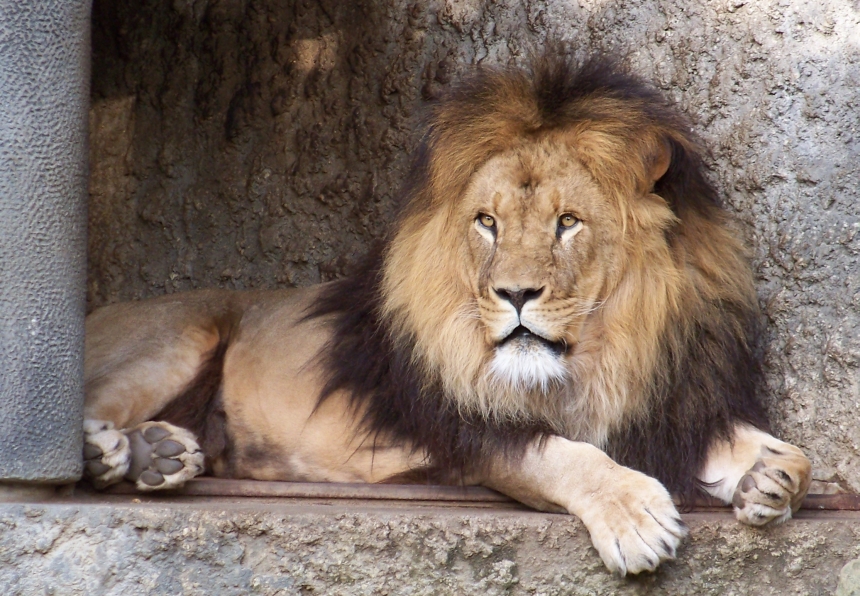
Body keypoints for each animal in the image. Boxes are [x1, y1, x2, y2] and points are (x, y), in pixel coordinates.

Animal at [82, 53, 812, 575]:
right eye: (486, 222)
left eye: (567, 222)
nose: (515, 294)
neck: (605, 351)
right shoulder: (467, 428)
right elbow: (564, 456)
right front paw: (635, 517)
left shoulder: (671, 406)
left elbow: (790, 458)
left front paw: (767, 476)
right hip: (179, 331)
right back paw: (110, 449)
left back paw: (156, 454)